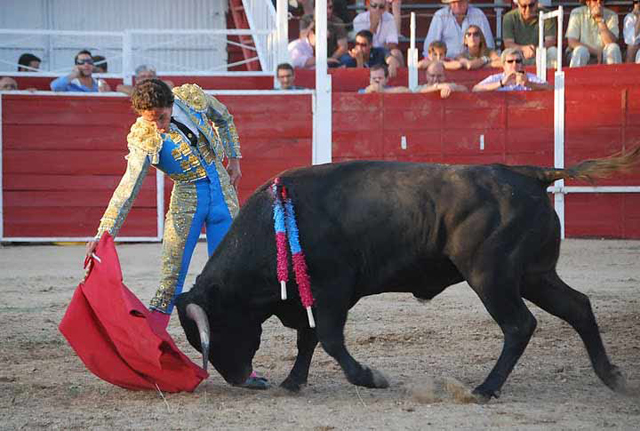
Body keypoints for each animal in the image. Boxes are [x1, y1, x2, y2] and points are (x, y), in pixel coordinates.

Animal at [176, 149, 640, 402]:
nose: (241, 380)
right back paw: (612, 377)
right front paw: (292, 382)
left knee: (519, 325)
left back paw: (484, 389)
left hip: (491, 276)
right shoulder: (309, 297)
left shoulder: (332, 291)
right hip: (535, 274)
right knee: (578, 307)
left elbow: (327, 338)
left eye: (216, 327)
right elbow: (308, 339)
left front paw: (370, 378)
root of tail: (530, 174)